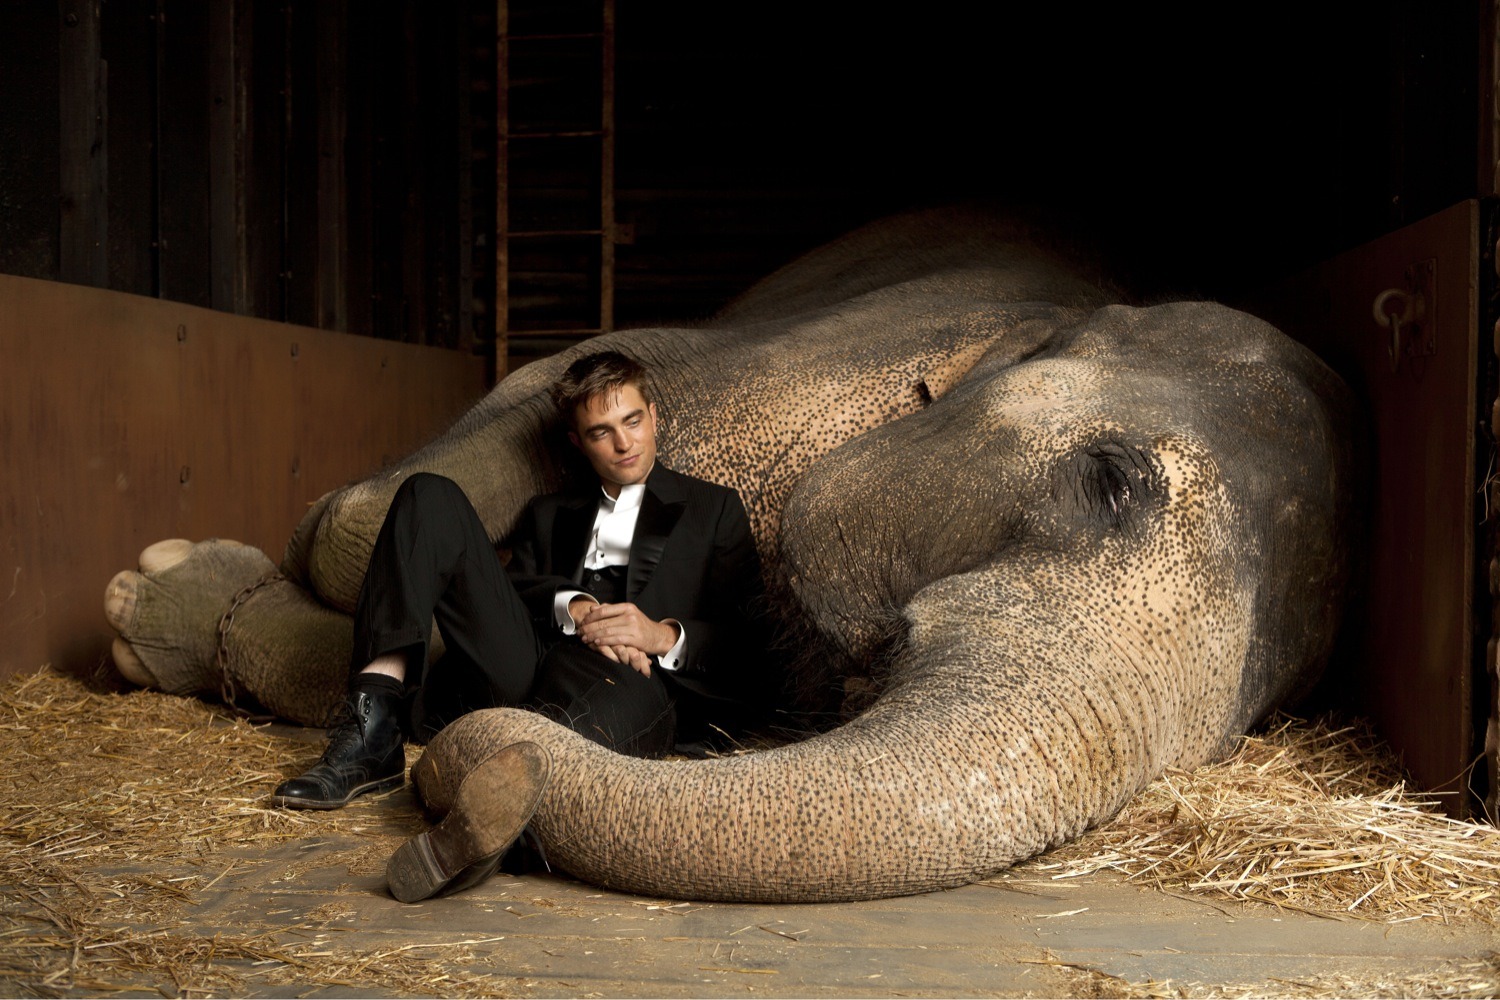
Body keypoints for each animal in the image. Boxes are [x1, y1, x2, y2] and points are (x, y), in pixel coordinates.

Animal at [103, 205, 1356, 903]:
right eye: (1109, 478)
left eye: (1259, 716)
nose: (472, 791)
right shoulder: (778, 360)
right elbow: (420, 482)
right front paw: (173, 583)